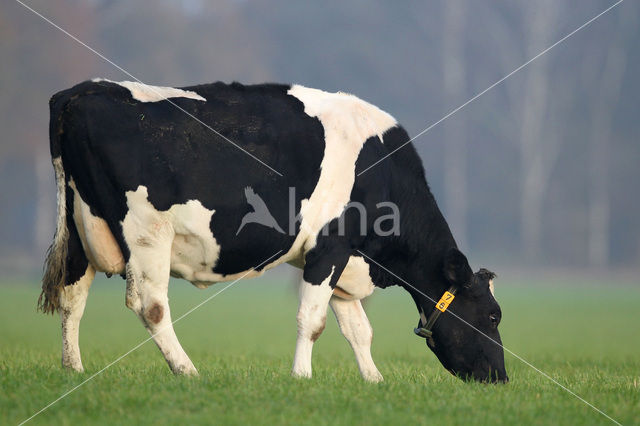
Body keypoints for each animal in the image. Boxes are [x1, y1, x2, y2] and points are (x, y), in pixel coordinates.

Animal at [41, 79, 510, 382]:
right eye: (492, 315)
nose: (501, 378)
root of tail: (79, 92)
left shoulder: (346, 259)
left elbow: (359, 329)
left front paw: (374, 380)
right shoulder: (329, 248)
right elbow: (312, 320)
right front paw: (302, 377)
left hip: (80, 227)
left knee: (72, 297)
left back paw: (73, 370)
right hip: (146, 230)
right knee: (150, 305)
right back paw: (187, 370)